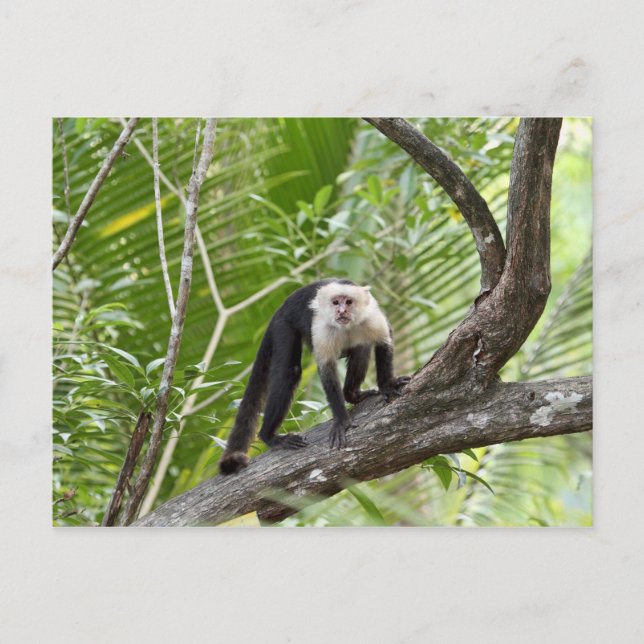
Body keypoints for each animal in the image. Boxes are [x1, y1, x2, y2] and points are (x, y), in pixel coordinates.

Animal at [218, 279, 409, 475]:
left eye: (348, 302)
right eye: (335, 302)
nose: (341, 311)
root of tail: (282, 307)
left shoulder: (371, 317)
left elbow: (384, 339)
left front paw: (387, 385)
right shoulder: (322, 328)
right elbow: (327, 370)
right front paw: (341, 421)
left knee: (360, 347)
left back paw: (352, 394)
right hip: (284, 324)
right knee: (290, 372)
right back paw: (268, 436)